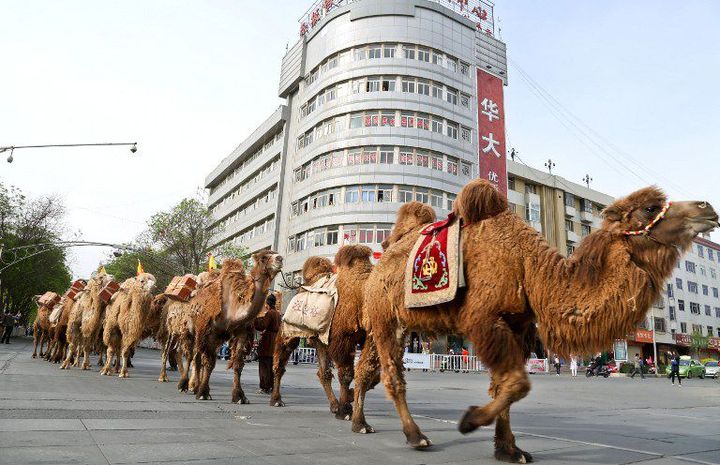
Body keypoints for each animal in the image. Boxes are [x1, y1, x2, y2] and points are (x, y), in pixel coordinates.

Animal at [191, 250, 282, 402]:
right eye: (263, 257)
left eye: (275, 254)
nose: (280, 258)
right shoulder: (212, 332)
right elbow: (209, 363)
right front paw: (203, 393)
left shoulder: (241, 332)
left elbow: (237, 365)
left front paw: (239, 396)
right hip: (198, 330)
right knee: (196, 356)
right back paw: (191, 386)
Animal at [272, 245, 380, 418]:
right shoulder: (342, 338)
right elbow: (346, 373)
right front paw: (345, 409)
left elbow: (375, 374)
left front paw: (349, 399)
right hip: (290, 329)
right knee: (281, 359)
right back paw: (276, 399)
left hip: (319, 337)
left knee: (323, 372)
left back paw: (334, 405)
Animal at [352, 179, 716, 460]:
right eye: (650, 208)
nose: (707, 208)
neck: (529, 268)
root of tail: (383, 259)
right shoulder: (483, 317)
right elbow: (518, 383)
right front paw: (469, 421)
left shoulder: (518, 325)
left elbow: (505, 385)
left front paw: (509, 450)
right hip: (384, 317)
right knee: (392, 377)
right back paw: (415, 436)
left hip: (393, 323)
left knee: (366, 370)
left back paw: (360, 422)